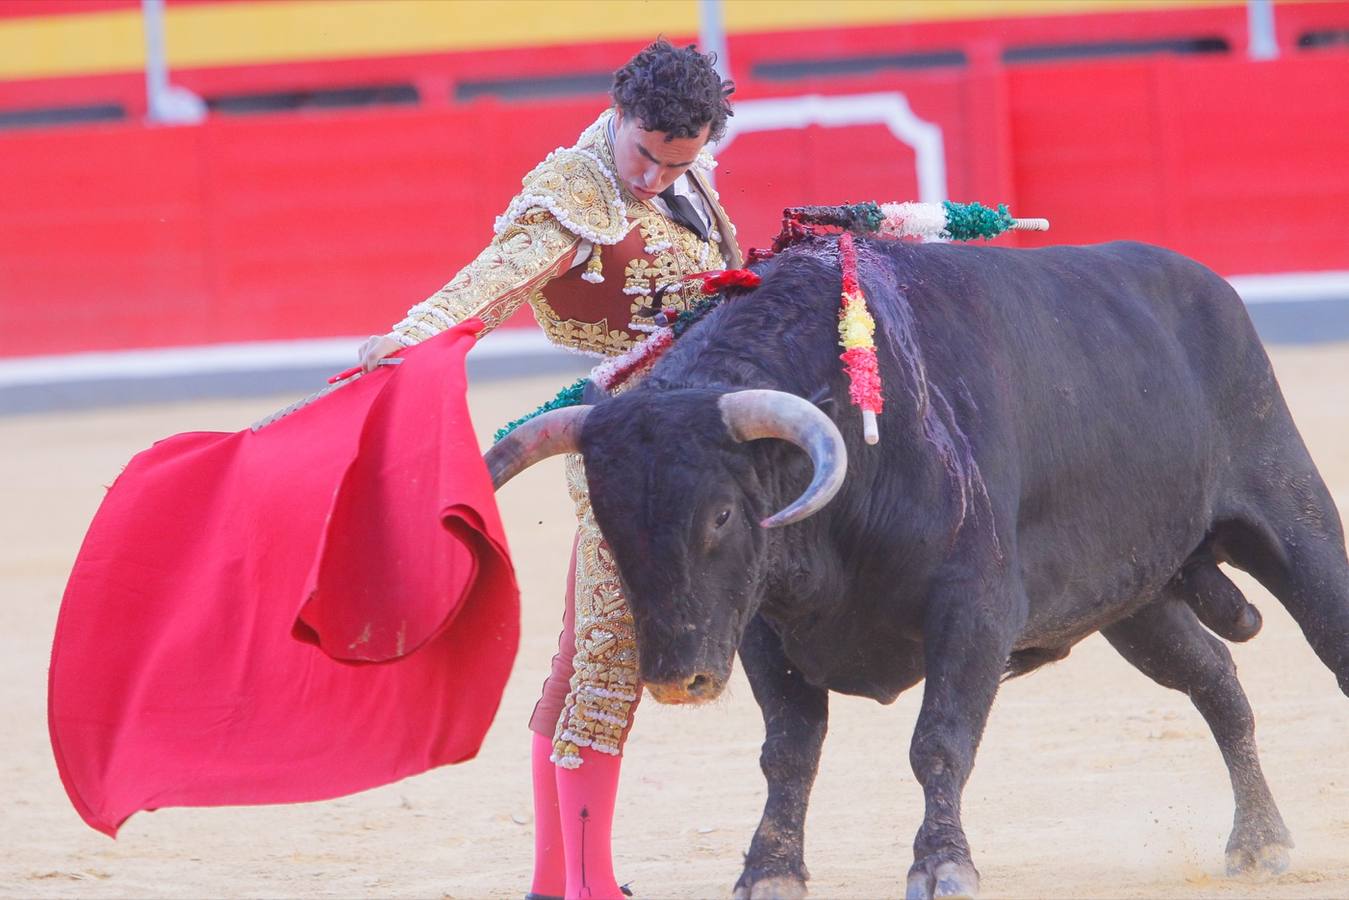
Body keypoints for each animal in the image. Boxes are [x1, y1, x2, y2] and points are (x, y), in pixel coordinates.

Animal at [485, 241, 1349, 900]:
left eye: (722, 515)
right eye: (603, 517)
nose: (675, 678)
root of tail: (1205, 284)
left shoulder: (973, 611)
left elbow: (938, 742)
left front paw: (941, 866)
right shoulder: (760, 627)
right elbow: (787, 752)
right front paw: (769, 871)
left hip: (1287, 507)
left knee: (1326, 635)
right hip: (1133, 601)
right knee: (1212, 677)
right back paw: (1258, 842)